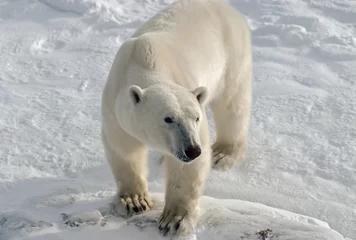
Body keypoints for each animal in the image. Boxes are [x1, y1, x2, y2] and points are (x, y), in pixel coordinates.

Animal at [100, 0, 252, 236]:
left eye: (196, 118)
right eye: (168, 119)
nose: (193, 150)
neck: (144, 62)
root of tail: (227, 7)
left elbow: (186, 171)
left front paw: (174, 221)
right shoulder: (115, 106)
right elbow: (124, 149)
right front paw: (134, 201)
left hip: (232, 53)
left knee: (232, 103)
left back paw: (222, 153)